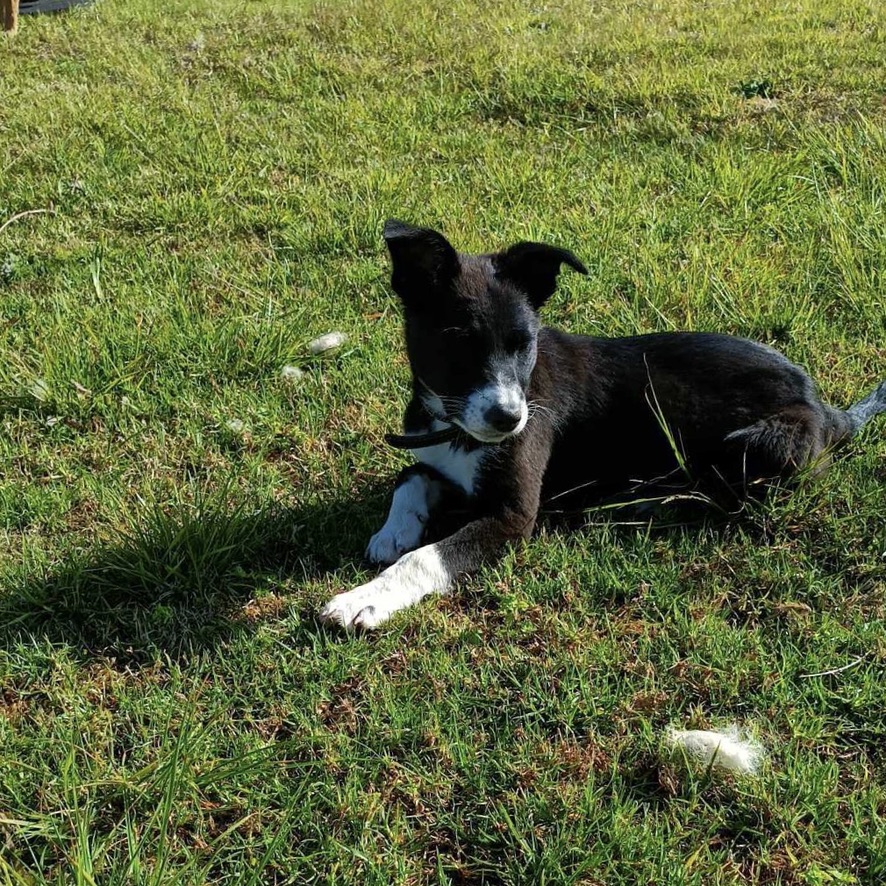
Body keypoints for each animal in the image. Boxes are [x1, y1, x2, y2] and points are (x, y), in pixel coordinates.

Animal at [322, 222, 886, 632]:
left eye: (525, 344)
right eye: (457, 344)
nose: (510, 419)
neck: (453, 424)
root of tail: (828, 409)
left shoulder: (513, 515)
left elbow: (426, 559)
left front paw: (364, 599)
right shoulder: (434, 455)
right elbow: (409, 478)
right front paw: (392, 532)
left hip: (763, 444)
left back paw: (647, 502)